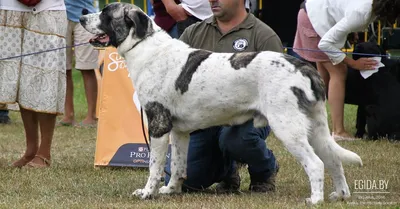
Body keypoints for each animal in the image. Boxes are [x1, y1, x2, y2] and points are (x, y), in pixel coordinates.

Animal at [79, 2, 360, 205]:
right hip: (316, 129)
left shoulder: (158, 126)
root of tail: (303, 66)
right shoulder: (178, 131)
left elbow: (154, 166)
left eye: (106, 14)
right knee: (333, 160)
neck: (146, 48)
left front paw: (149, 193)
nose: (82, 17)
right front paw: (171, 190)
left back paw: (315, 200)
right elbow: (178, 165)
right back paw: (340, 195)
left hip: (288, 128)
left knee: (316, 163)